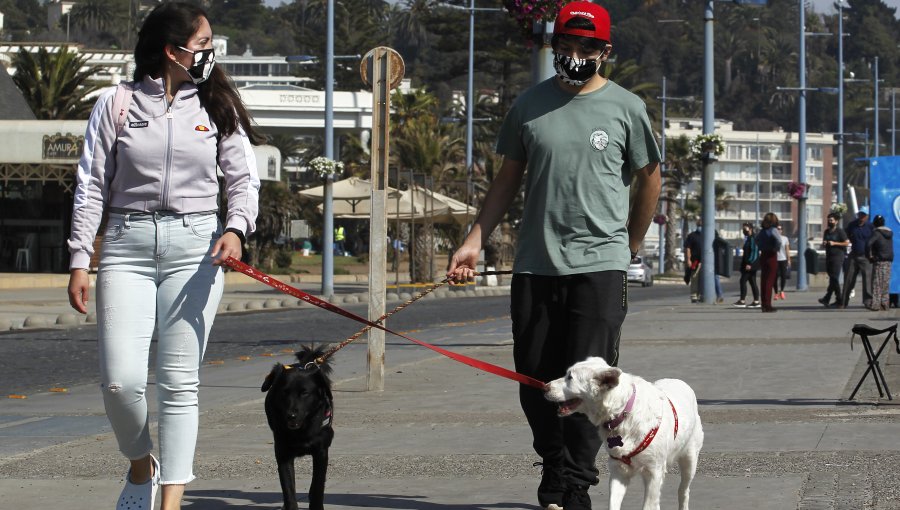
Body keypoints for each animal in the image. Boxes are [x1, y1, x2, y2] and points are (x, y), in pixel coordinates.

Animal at [262, 346, 336, 510]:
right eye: (284, 392)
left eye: (304, 393)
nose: (291, 416)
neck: (302, 430)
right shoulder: (283, 453)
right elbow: (288, 488)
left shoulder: (321, 451)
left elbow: (318, 484)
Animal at [540, 356, 704, 510]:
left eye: (570, 377)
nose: (544, 387)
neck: (623, 412)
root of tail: (680, 382)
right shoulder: (618, 471)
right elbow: (614, 504)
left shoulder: (654, 473)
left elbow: (649, 505)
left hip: (689, 461)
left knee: (683, 491)